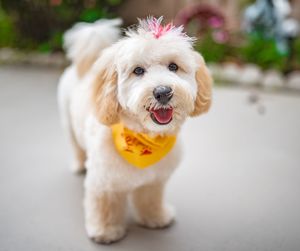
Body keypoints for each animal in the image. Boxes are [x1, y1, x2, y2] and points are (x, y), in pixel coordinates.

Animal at [57, 17, 212, 243]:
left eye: (173, 66)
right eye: (138, 70)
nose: (163, 92)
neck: (143, 138)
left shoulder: (154, 179)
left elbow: (150, 199)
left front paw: (155, 217)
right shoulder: (103, 181)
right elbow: (105, 206)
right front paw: (106, 231)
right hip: (68, 123)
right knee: (76, 145)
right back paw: (78, 164)